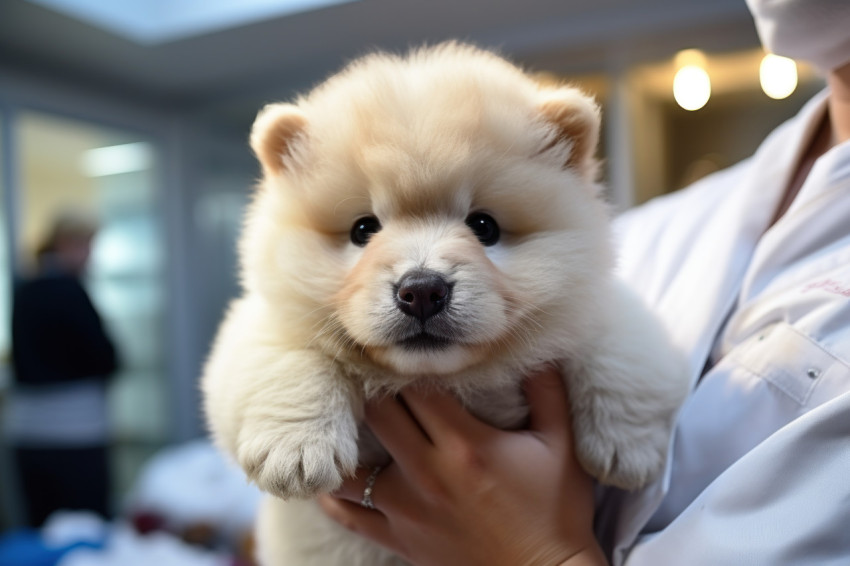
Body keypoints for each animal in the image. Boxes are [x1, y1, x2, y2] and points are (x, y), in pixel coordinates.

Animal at [202, 43, 684, 566]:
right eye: (363, 229)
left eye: (484, 226)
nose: (422, 291)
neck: (444, 379)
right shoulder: (264, 322)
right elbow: (290, 360)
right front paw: (297, 453)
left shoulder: (593, 301)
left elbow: (617, 349)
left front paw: (625, 452)